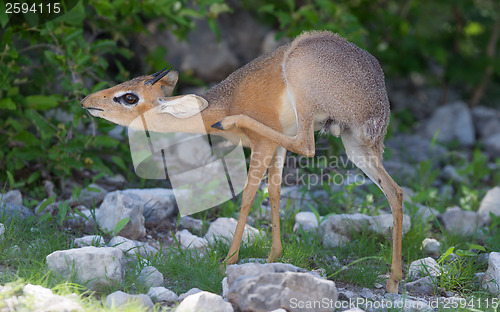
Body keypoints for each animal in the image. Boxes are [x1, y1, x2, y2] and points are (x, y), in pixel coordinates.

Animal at [81, 31, 402, 292]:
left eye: (129, 97)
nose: (86, 101)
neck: (225, 101)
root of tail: (377, 101)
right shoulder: (276, 148)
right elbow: (274, 193)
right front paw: (273, 257)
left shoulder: (265, 144)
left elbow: (247, 196)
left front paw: (229, 260)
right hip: (357, 148)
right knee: (395, 192)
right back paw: (393, 281)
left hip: (307, 99)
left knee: (307, 146)